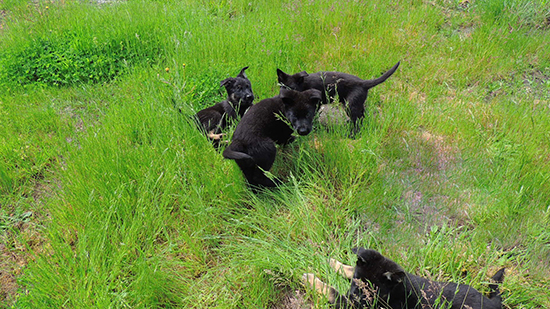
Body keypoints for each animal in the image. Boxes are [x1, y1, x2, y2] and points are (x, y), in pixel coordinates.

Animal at [304, 247, 506, 308]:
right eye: (357, 282)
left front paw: (311, 280)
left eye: (372, 290)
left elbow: (333, 291)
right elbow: (350, 267)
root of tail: (492, 303)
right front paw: (333, 262)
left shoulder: (353, 305)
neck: (395, 291)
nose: (353, 294)